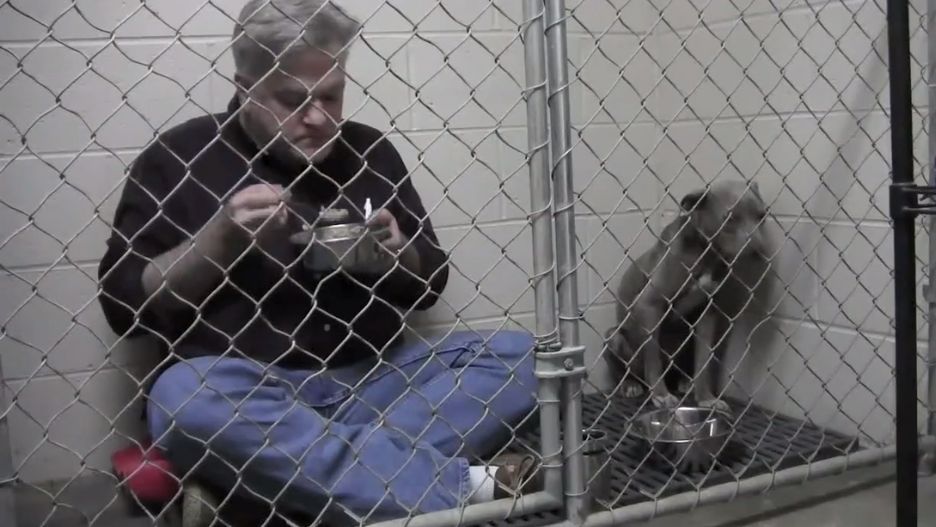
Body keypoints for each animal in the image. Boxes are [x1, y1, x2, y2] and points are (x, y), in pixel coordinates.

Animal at [604, 180, 771, 410]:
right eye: (729, 219)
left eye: (761, 216)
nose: (760, 250)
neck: (706, 252)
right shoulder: (649, 305)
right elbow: (652, 356)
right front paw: (661, 395)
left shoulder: (707, 314)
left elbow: (703, 361)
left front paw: (706, 397)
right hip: (613, 337)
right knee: (625, 369)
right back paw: (630, 384)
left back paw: (685, 382)